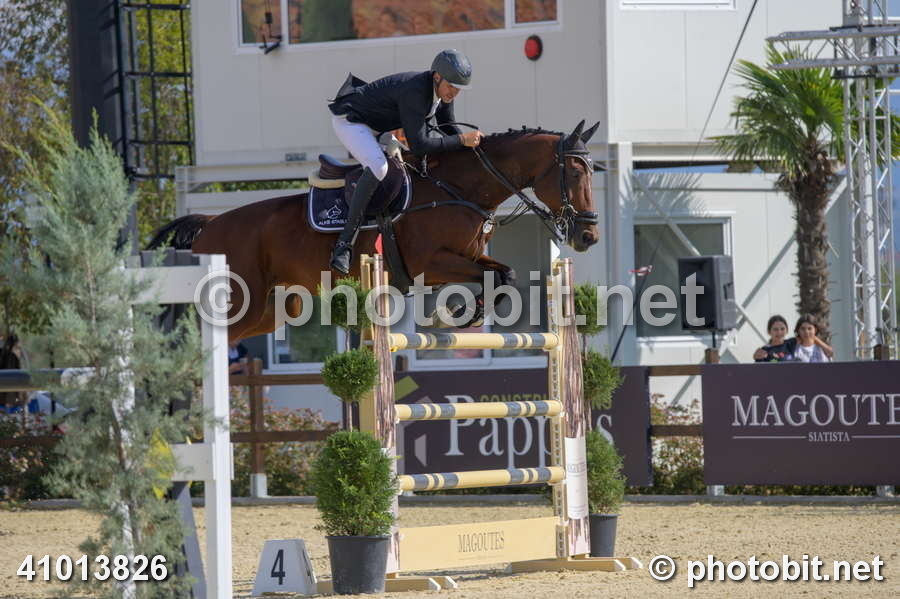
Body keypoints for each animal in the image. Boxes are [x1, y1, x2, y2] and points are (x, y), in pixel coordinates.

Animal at [148, 120, 601, 341]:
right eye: (576, 172)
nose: (588, 238)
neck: (458, 188)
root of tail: (210, 226)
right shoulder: (430, 263)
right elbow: (497, 276)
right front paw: (456, 313)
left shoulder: (469, 257)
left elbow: (503, 274)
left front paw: (463, 312)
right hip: (242, 302)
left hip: (272, 310)